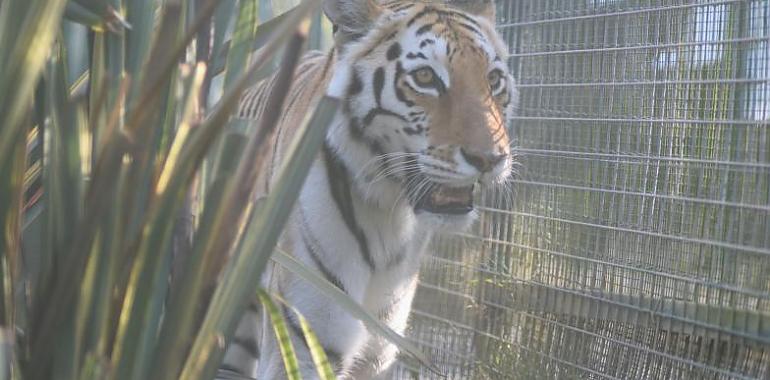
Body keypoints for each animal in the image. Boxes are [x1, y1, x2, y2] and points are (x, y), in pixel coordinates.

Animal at [216, 0, 516, 378]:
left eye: (493, 79)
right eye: (425, 77)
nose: (491, 159)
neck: (389, 215)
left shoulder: (379, 350)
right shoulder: (307, 342)